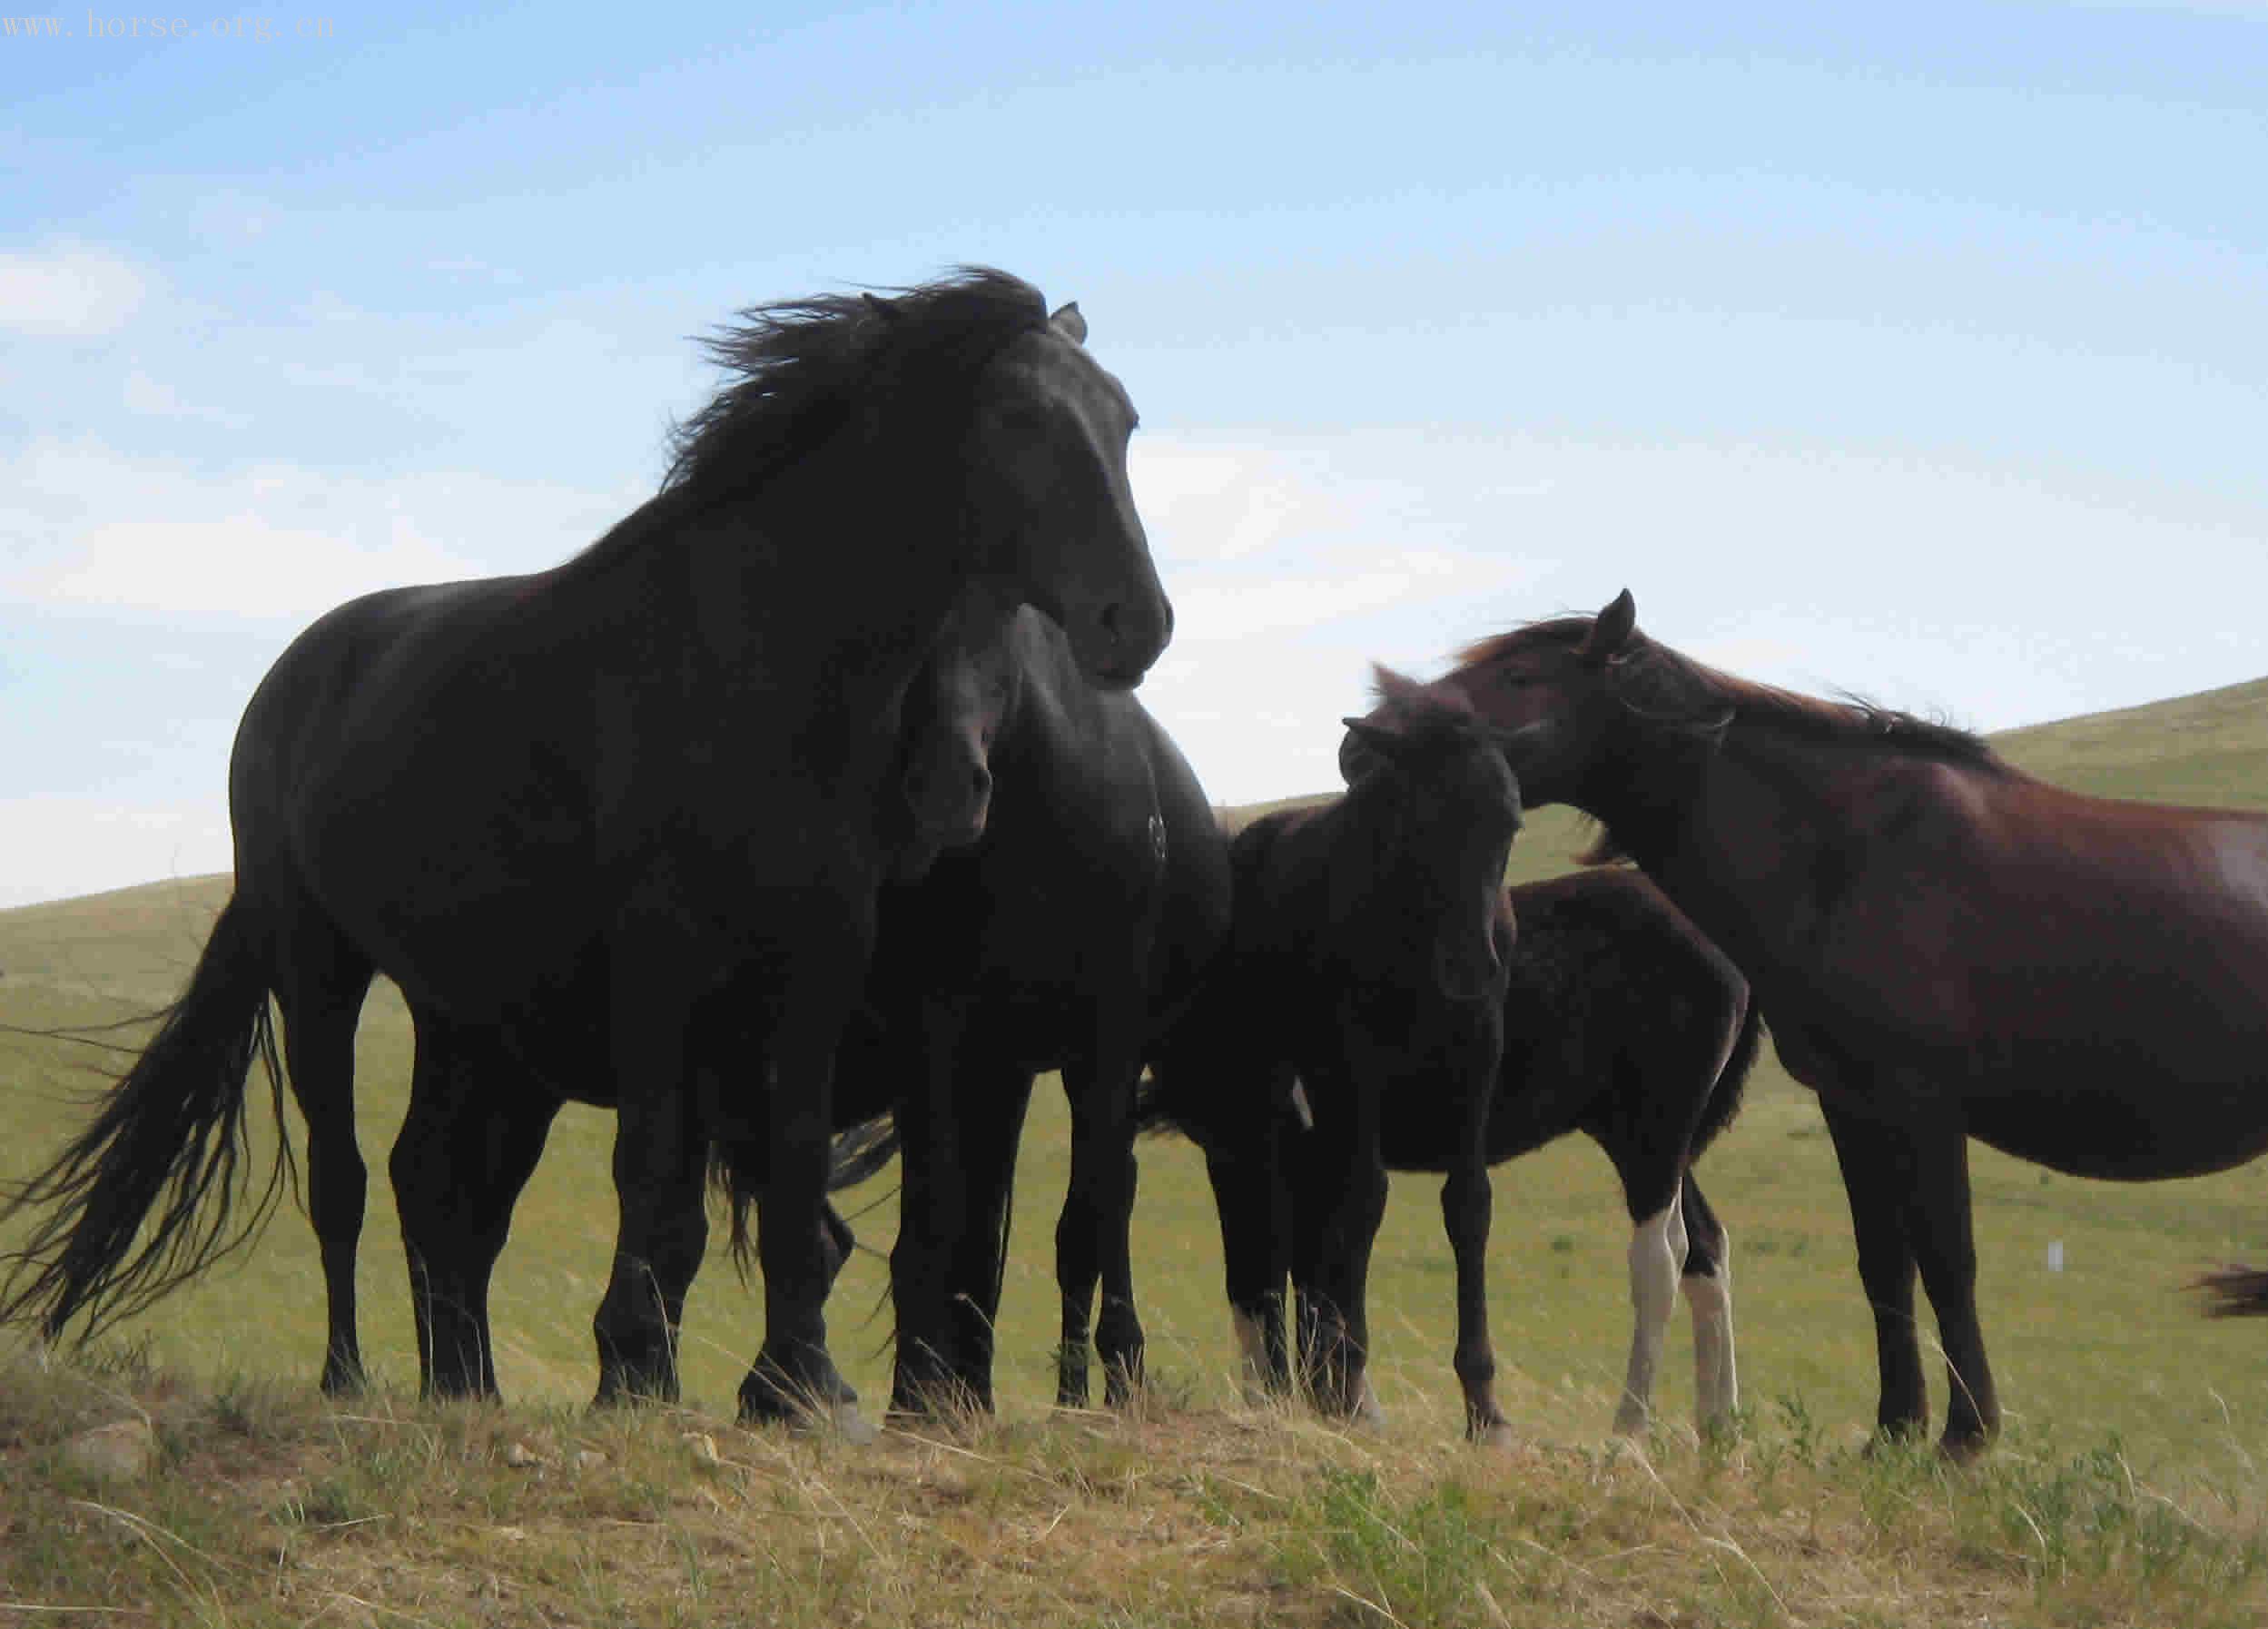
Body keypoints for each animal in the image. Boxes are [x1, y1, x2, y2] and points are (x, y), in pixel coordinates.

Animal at [0, 264, 1169, 1434]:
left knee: (436, 1187)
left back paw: (463, 1385)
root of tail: (293, 676)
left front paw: (796, 1381)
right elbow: (652, 1180)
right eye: (1018, 418)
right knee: (344, 1184)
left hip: (466, 1017)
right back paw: (349, 1379)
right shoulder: (658, 966)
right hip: (316, 969)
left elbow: (791, 1174)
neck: (758, 666)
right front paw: (639, 1368)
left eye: (1122, 420)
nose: (1139, 622)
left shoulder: (817, 964)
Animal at [1396, 594, 2268, 1461]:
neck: (1846, 855)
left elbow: (1948, 1263)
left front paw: (1965, 1437)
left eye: (1519, 676)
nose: (1378, 732)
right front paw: (1894, 1432)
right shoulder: (1854, 1106)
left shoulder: (1925, 1108)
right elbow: (1884, 1265)